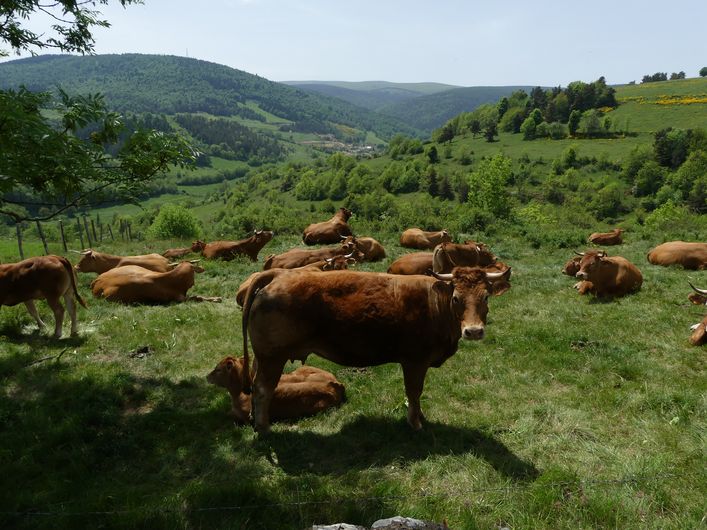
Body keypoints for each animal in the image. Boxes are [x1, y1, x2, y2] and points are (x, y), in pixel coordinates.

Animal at [206, 352, 348, 422]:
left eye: (217, 369)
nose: (206, 376)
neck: (237, 393)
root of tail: (336, 384)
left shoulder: (242, 417)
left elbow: (224, 414)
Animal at [241, 266, 512, 432]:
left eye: (486, 297)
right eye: (456, 298)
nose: (474, 331)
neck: (436, 305)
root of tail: (279, 274)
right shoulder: (415, 361)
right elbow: (414, 392)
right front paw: (415, 422)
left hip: (261, 357)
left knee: (256, 385)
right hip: (272, 357)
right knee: (263, 388)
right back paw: (264, 427)